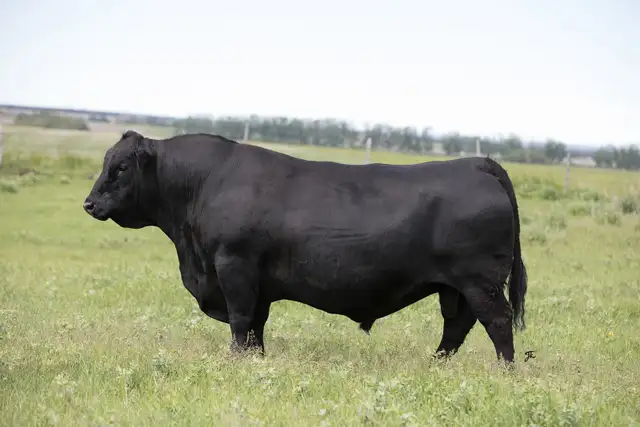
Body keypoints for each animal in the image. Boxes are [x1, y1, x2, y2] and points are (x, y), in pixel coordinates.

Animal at [83, 130, 528, 363]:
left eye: (120, 168)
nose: (89, 204)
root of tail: (476, 163)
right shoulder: (256, 282)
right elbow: (256, 324)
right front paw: (256, 360)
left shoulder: (233, 265)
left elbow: (240, 320)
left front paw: (235, 361)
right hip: (457, 286)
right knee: (457, 327)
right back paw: (436, 365)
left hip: (480, 281)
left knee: (497, 322)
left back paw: (505, 371)